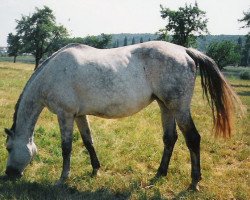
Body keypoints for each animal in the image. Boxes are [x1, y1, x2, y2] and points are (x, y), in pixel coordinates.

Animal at [3, 41, 242, 190]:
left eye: (8, 148)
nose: (9, 174)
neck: (52, 74)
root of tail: (184, 51)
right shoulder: (79, 115)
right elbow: (88, 141)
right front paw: (95, 170)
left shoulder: (65, 115)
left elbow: (66, 147)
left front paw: (62, 179)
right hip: (165, 106)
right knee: (170, 139)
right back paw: (160, 173)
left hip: (179, 107)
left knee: (192, 139)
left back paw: (194, 182)